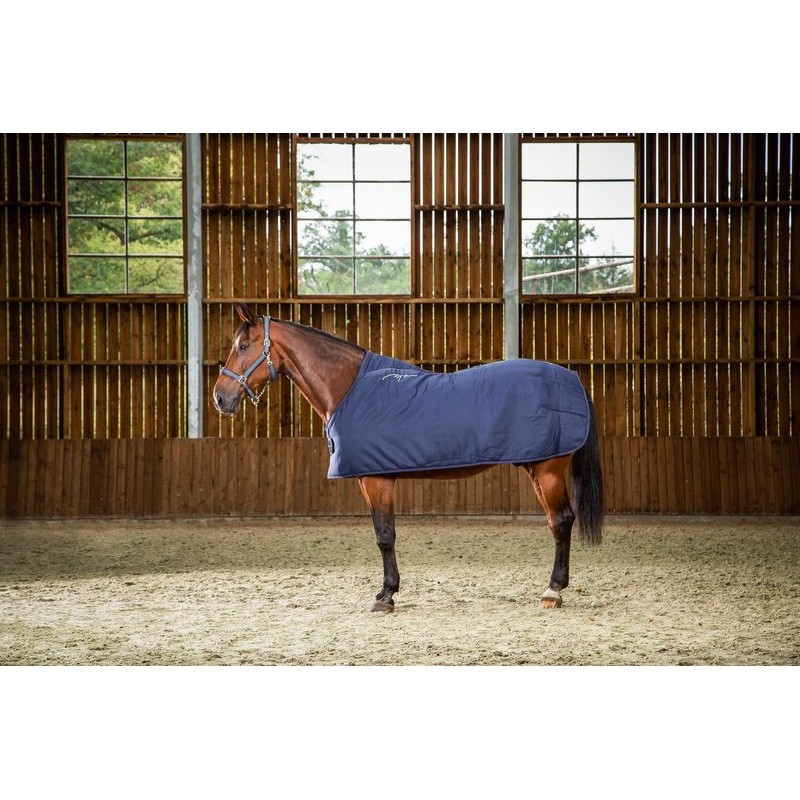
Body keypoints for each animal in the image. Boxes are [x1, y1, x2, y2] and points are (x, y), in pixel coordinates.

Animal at [213, 303, 603, 612]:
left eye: (243, 346)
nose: (220, 397)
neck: (348, 389)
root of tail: (571, 378)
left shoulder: (377, 480)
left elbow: (385, 536)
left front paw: (386, 595)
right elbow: (384, 534)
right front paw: (387, 592)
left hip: (548, 470)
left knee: (562, 521)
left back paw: (553, 591)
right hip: (537, 468)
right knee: (555, 521)